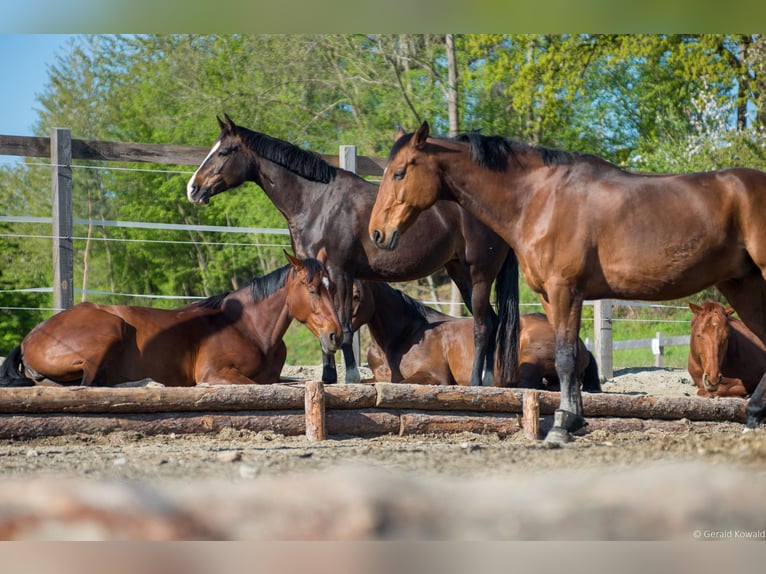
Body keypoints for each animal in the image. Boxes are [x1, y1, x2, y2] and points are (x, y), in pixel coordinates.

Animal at [0, 251, 342, 388]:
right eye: (312, 289)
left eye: (333, 287)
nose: (336, 336)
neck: (249, 328)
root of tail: (30, 338)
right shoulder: (215, 373)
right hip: (112, 327)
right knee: (90, 384)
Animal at [188, 114, 520, 390]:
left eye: (224, 152)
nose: (193, 188)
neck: (317, 202)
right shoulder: (318, 273)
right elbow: (325, 328)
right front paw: (327, 377)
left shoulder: (339, 272)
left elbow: (344, 325)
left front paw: (349, 377)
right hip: (459, 272)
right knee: (492, 321)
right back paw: (489, 379)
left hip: (479, 273)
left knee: (482, 325)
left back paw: (477, 382)